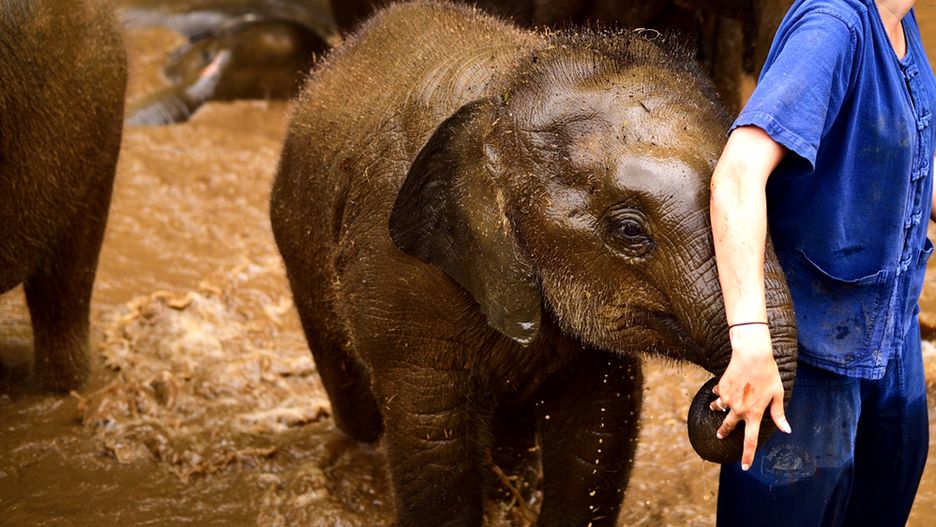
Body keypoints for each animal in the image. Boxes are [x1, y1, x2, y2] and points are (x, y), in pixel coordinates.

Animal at [270, 2, 798, 525]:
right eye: (630, 232)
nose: (725, 397)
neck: (509, 90)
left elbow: (599, 434)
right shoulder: (396, 279)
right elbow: (434, 448)